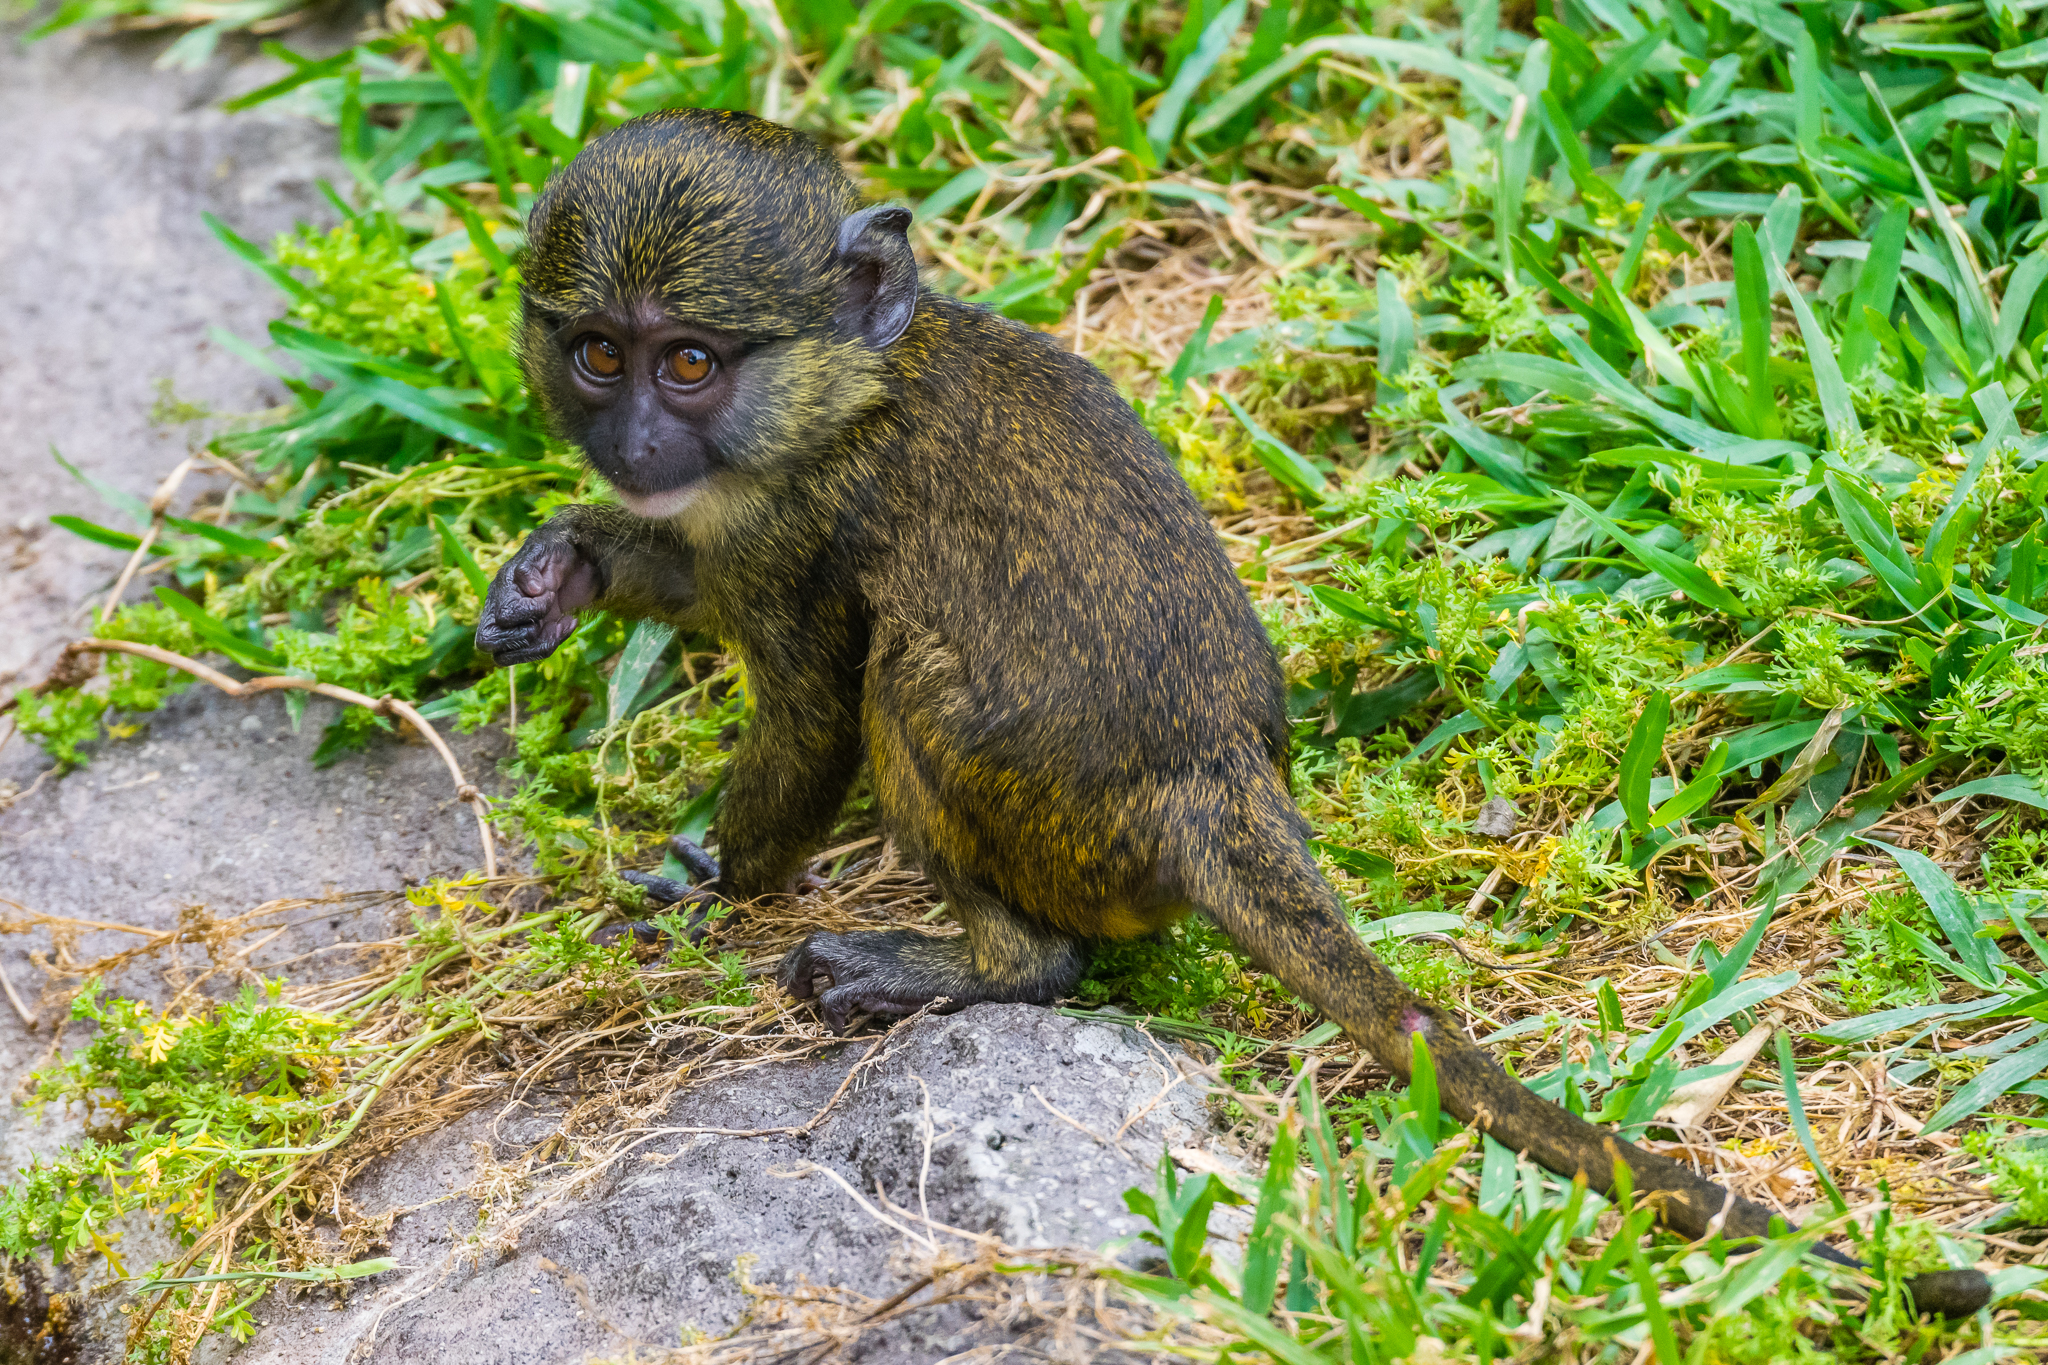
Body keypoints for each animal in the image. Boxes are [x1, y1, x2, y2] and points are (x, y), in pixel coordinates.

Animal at [473, 108, 1989, 1317]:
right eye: (599, 353)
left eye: (689, 365)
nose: (634, 444)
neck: (856, 381)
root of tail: (1212, 784)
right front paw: (563, 568)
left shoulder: (801, 525)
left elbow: (809, 713)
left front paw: (712, 883)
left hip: (1050, 816)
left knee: (914, 688)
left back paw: (988, 965)